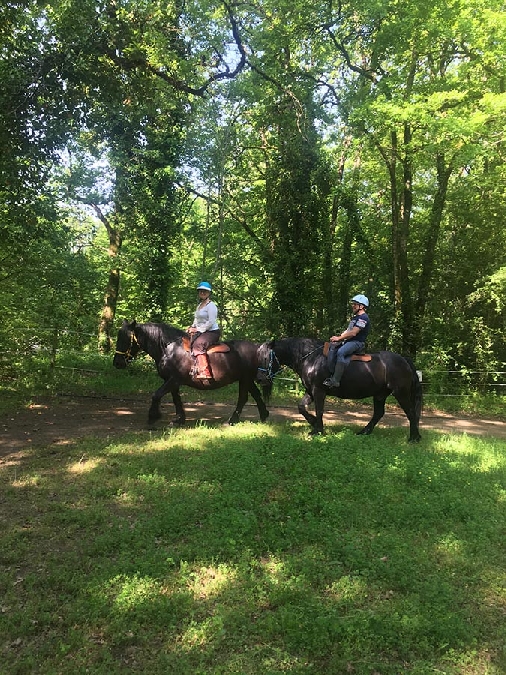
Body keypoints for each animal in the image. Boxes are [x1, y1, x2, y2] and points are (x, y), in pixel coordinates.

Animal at [112, 320, 270, 426]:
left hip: (245, 379)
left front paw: (153, 417)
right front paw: (179, 419)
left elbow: (156, 395)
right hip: (246, 379)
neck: (168, 349)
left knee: (243, 398)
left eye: (126, 339)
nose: (117, 363)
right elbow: (176, 399)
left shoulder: (173, 380)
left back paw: (233, 420)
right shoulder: (170, 380)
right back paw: (263, 416)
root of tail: (257, 347)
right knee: (255, 395)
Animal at [256, 338, 422, 444]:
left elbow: (319, 410)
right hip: (380, 395)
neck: (311, 358)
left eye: (265, 358)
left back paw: (414, 438)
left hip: (401, 393)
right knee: (378, 413)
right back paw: (364, 432)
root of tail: (404, 360)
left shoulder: (318, 391)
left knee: (411, 413)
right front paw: (313, 423)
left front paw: (317, 430)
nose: (260, 379)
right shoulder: (310, 391)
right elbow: (301, 407)